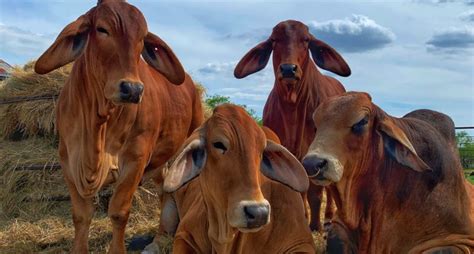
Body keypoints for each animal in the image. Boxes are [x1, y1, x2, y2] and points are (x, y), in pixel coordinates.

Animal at [32, 0, 204, 253]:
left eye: (142, 38)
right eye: (102, 29)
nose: (132, 89)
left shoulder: (135, 161)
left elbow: (119, 212)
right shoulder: (68, 161)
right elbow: (81, 215)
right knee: (164, 189)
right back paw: (159, 239)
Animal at [234, 18, 352, 231]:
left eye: (306, 40)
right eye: (274, 40)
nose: (289, 69)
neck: (292, 108)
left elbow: (315, 192)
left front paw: (314, 225)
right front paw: (301, 217)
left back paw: (329, 216)